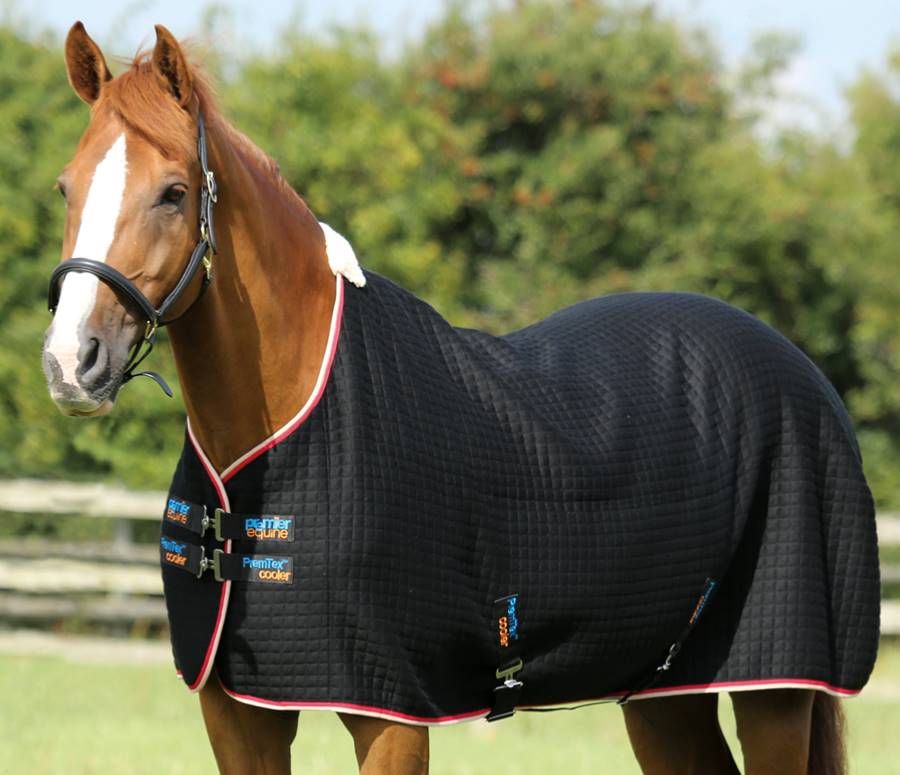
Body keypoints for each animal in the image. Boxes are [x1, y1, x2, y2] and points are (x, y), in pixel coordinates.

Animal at [42, 22, 879, 775]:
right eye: (66, 187)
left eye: (174, 193)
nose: (70, 361)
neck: (284, 433)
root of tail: (798, 368)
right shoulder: (237, 714)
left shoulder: (389, 711)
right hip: (662, 693)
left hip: (773, 691)